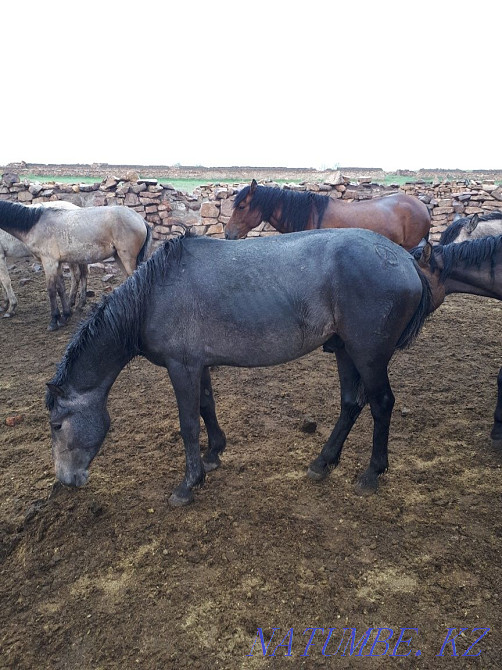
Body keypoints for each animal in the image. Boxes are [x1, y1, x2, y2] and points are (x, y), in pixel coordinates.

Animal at [0, 200, 151, 330]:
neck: (35, 225)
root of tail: (140, 219)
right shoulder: (57, 263)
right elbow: (61, 288)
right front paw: (65, 316)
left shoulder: (49, 262)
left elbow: (51, 290)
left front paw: (53, 321)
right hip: (118, 257)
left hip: (126, 258)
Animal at [46, 228, 432, 507]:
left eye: (56, 425)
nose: (66, 481)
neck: (153, 296)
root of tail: (405, 259)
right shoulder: (197, 365)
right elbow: (206, 406)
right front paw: (214, 454)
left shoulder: (181, 367)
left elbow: (188, 424)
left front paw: (188, 484)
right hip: (344, 350)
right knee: (351, 404)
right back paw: (322, 463)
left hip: (369, 355)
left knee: (381, 404)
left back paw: (371, 474)